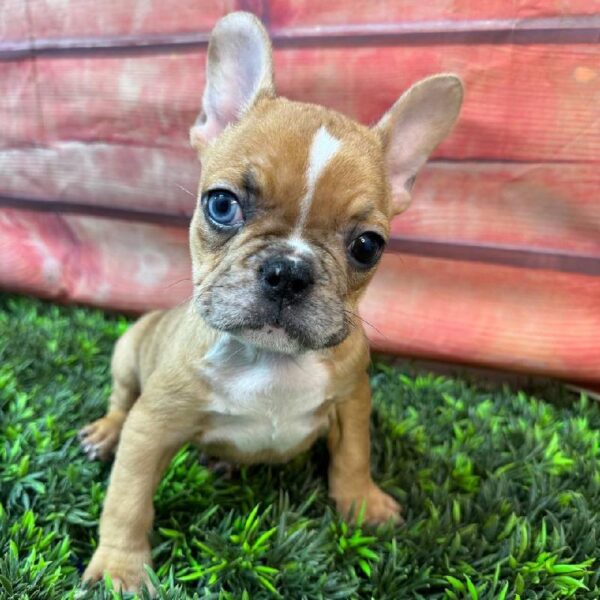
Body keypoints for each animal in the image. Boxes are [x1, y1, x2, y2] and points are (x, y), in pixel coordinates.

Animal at [79, 10, 464, 596]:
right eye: (221, 204)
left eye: (368, 246)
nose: (289, 271)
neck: (271, 359)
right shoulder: (154, 425)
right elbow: (128, 498)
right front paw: (121, 569)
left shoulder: (352, 400)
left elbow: (353, 455)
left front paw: (362, 504)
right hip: (128, 353)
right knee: (121, 399)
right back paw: (105, 433)